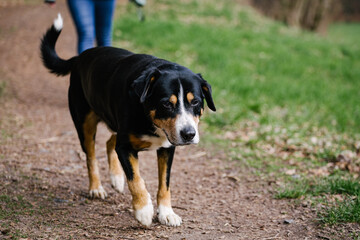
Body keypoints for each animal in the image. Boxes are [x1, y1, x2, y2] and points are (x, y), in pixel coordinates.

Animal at [40, 13, 215, 227]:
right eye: (167, 104)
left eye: (196, 102)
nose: (189, 134)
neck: (150, 118)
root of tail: (80, 57)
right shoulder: (125, 147)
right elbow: (136, 179)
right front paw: (143, 210)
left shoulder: (167, 148)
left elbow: (164, 184)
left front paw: (167, 212)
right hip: (85, 123)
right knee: (91, 155)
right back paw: (96, 188)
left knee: (109, 142)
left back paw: (116, 178)